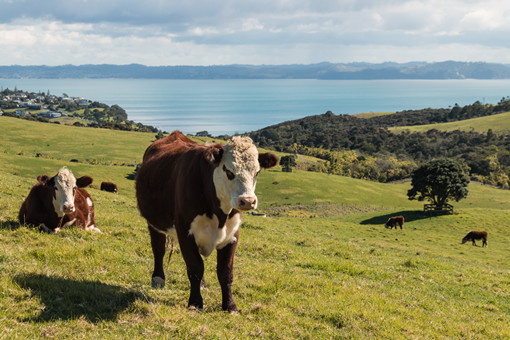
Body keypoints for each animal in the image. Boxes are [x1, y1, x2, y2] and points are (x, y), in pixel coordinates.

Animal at [135, 131, 276, 312]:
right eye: (228, 171)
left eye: (257, 172)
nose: (248, 201)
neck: (219, 215)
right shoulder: (185, 231)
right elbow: (195, 267)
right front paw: (195, 303)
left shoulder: (232, 235)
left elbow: (225, 272)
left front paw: (230, 305)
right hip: (154, 222)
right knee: (158, 249)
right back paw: (158, 279)